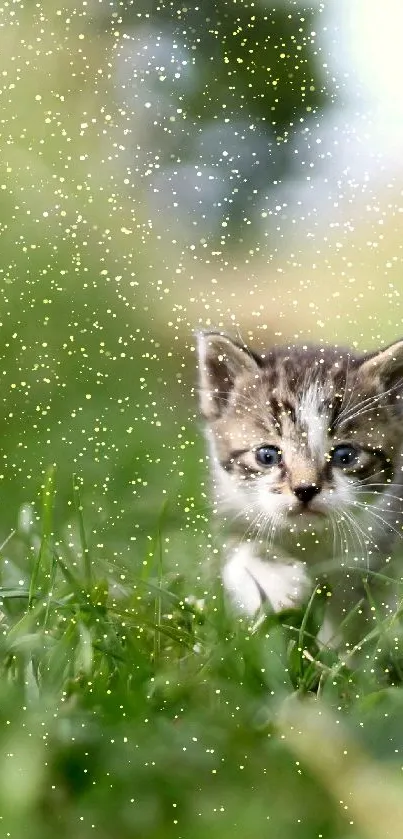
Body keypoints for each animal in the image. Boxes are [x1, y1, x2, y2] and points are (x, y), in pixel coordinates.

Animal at [197, 332, 403, 652]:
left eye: (345, 456)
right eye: (267, 456)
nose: (305, 489)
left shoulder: (380, 545)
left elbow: (356, 613)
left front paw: (335, 655)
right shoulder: (232, 509)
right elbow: (238, 554)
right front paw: (275, 583)